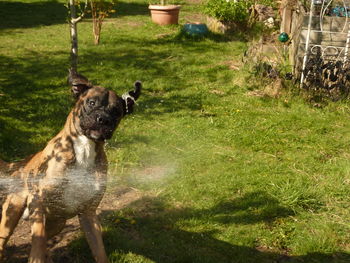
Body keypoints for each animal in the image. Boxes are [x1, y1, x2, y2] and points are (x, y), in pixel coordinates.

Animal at [0, 71, 142, 262]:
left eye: (117, 111)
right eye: (91, 102)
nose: (103, 119)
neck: (84, 149)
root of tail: (23, 163)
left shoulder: (89, 213)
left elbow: (99, 250)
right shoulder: (38, 204)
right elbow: (37, 245)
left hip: (58, 223)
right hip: (11, 215)